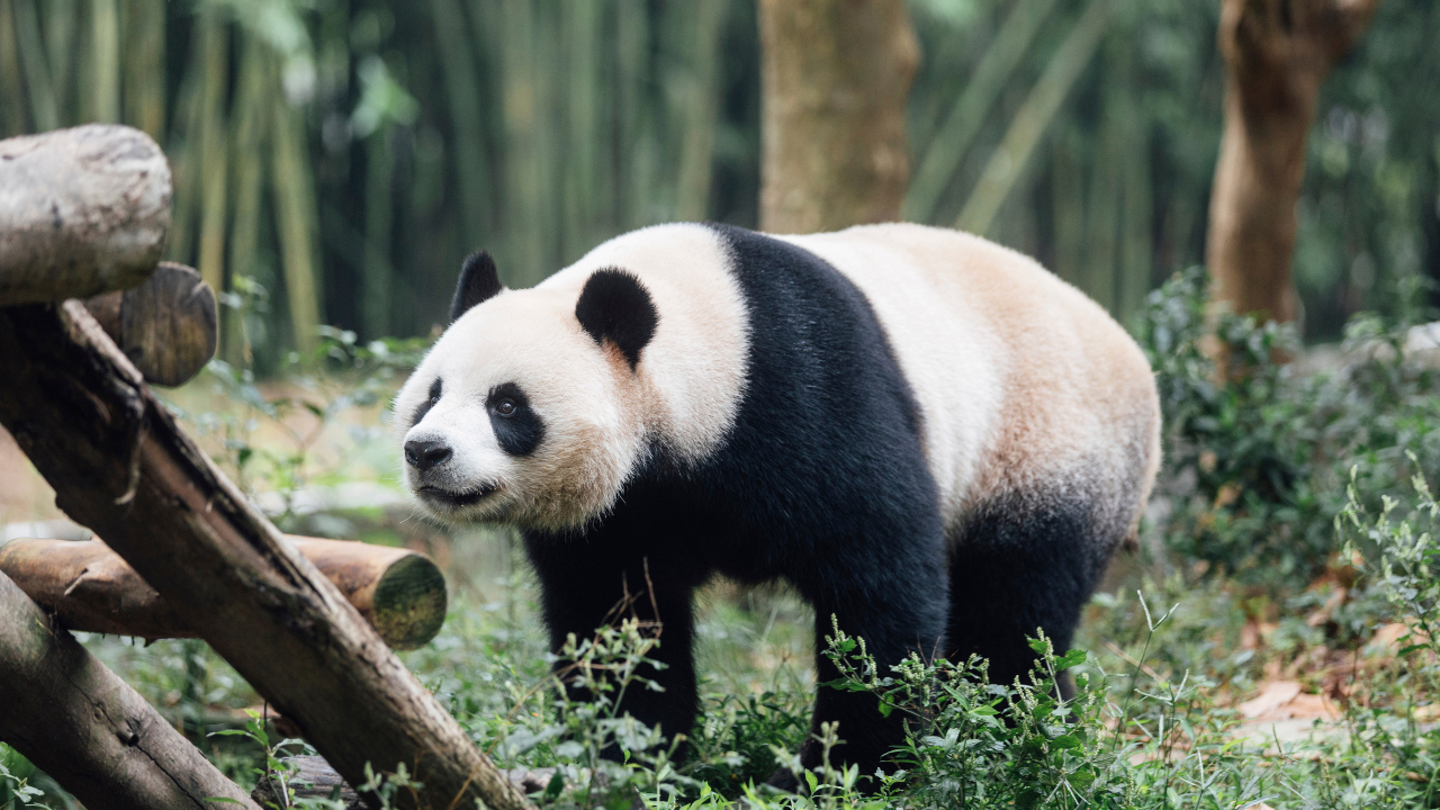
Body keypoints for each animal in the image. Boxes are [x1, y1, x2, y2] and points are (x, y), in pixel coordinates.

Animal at [394, 220, 1157, 784]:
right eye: (431, 394)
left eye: (507, 404)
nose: (426, 450)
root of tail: (1131, 351)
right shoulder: (620, 517)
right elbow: (617, 619)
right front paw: (635, 756)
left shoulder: (809, 393)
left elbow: (880, 590)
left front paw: (841, 771)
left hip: (1046, 450)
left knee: (1014, 611)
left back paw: (1013, 733)